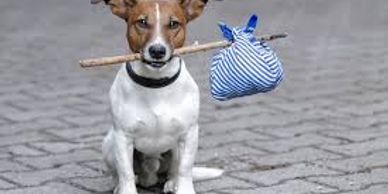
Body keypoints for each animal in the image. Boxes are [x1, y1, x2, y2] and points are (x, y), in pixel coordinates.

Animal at [91, 0, 223, 194]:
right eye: (142, 22)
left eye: (174, 24)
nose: (157, 50)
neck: (155, 83)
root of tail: (151, 176)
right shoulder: (123, 137)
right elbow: (126, 173)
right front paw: (125, 188)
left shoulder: (189, 134)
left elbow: (185, 169)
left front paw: (184, 189)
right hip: (109, 144)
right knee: (120, 174)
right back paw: (119, 186)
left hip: (175, 148)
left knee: (173, 171)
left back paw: (172, 184)